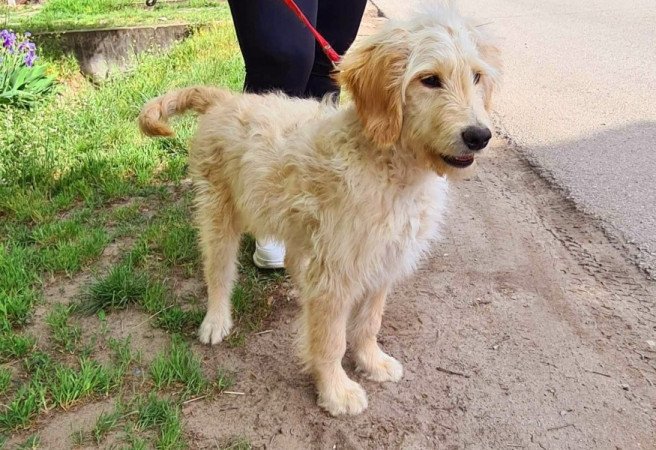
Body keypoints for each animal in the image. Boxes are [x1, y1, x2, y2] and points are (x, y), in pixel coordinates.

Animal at [137, 5, 498, 416]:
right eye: (430, 80)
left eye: (476, 76)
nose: (479, 136)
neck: (387, 164)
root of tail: (224, 99)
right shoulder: (337, 271)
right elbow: (330, 339)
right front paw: (336, 390)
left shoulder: (384, 259)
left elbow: (369, 322)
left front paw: (371, 361)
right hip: (218, 211)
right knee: (218, 270)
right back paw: (216, 319)